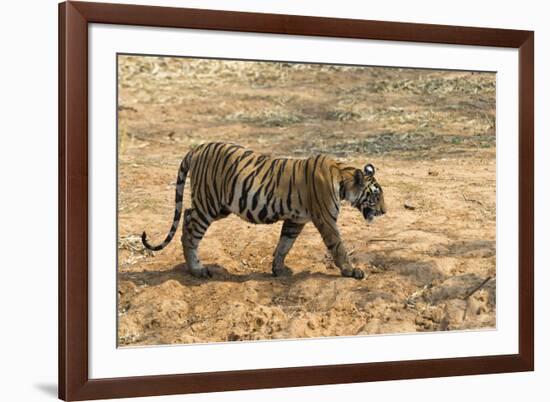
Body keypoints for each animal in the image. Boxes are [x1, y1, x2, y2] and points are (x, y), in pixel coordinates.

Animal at [141, 142, 388, 280]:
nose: (385, 211)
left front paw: (278, 269)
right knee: (191, 229)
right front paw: (351, 272)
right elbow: (338, 247)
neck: (343, 177)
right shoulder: (326, 220)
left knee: (186, 216)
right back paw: (197, 270)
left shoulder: (295, 220)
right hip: (209, 204)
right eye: (376, 195)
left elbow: (284, 245)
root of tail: (197, 148)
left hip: (218, 206)